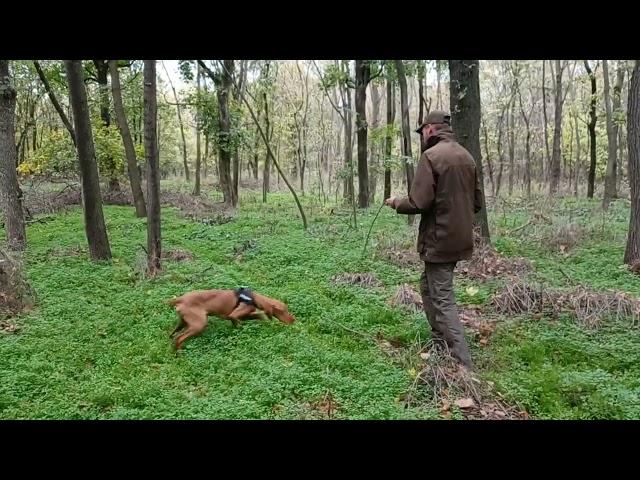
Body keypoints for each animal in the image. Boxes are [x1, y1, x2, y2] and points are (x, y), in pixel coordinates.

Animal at [165, 286, 296, 350]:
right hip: (199, 324)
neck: (253, 297)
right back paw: (180, 353)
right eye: (284, 311)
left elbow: (259, 316)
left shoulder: (245, 315)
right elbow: (239, 322)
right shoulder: (234, 315)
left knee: (172, 334)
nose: (294, 320)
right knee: (179, 338)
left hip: (183, 322)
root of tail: (181, 299)